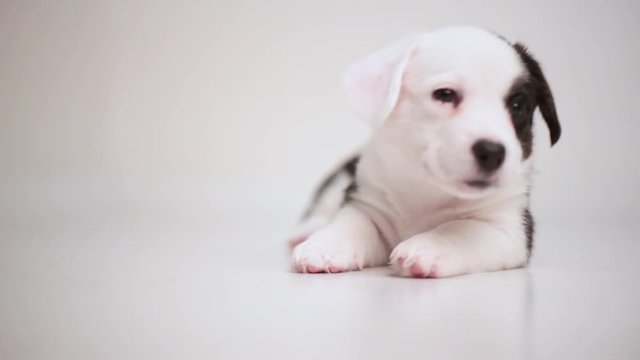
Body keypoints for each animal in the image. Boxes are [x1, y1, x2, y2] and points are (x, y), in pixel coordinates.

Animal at [288, 26, 560, 278]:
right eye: (445, 94)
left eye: (517, 106)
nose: (493, 152)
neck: (427, 190)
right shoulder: (367, 202)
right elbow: (352, 222)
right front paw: (327, 244)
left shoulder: (510, 229)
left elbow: (463, 229)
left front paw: (429, 247)